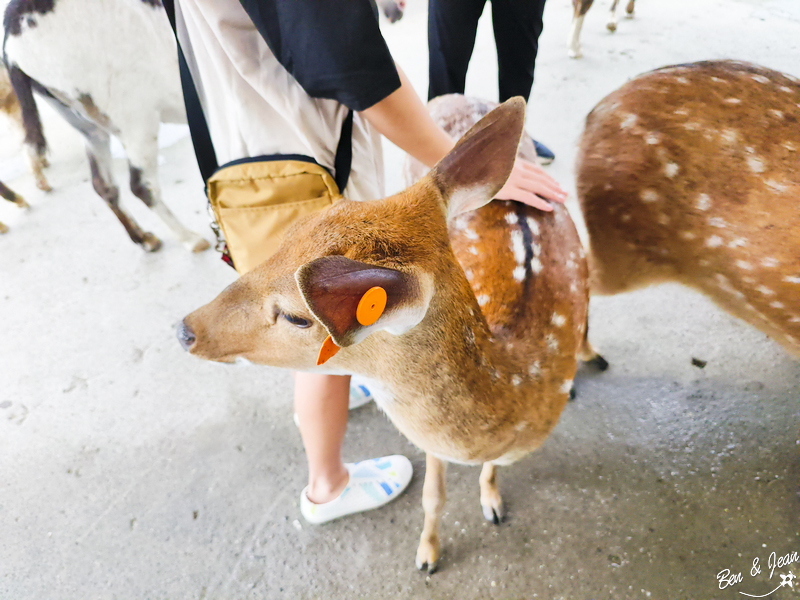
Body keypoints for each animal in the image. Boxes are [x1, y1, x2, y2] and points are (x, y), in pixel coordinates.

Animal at [178, 98, 604, 572]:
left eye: (296, 317)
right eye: (287, 235)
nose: (186, 329)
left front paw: (491, 503)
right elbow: (433, 496)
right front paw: (428, 554)